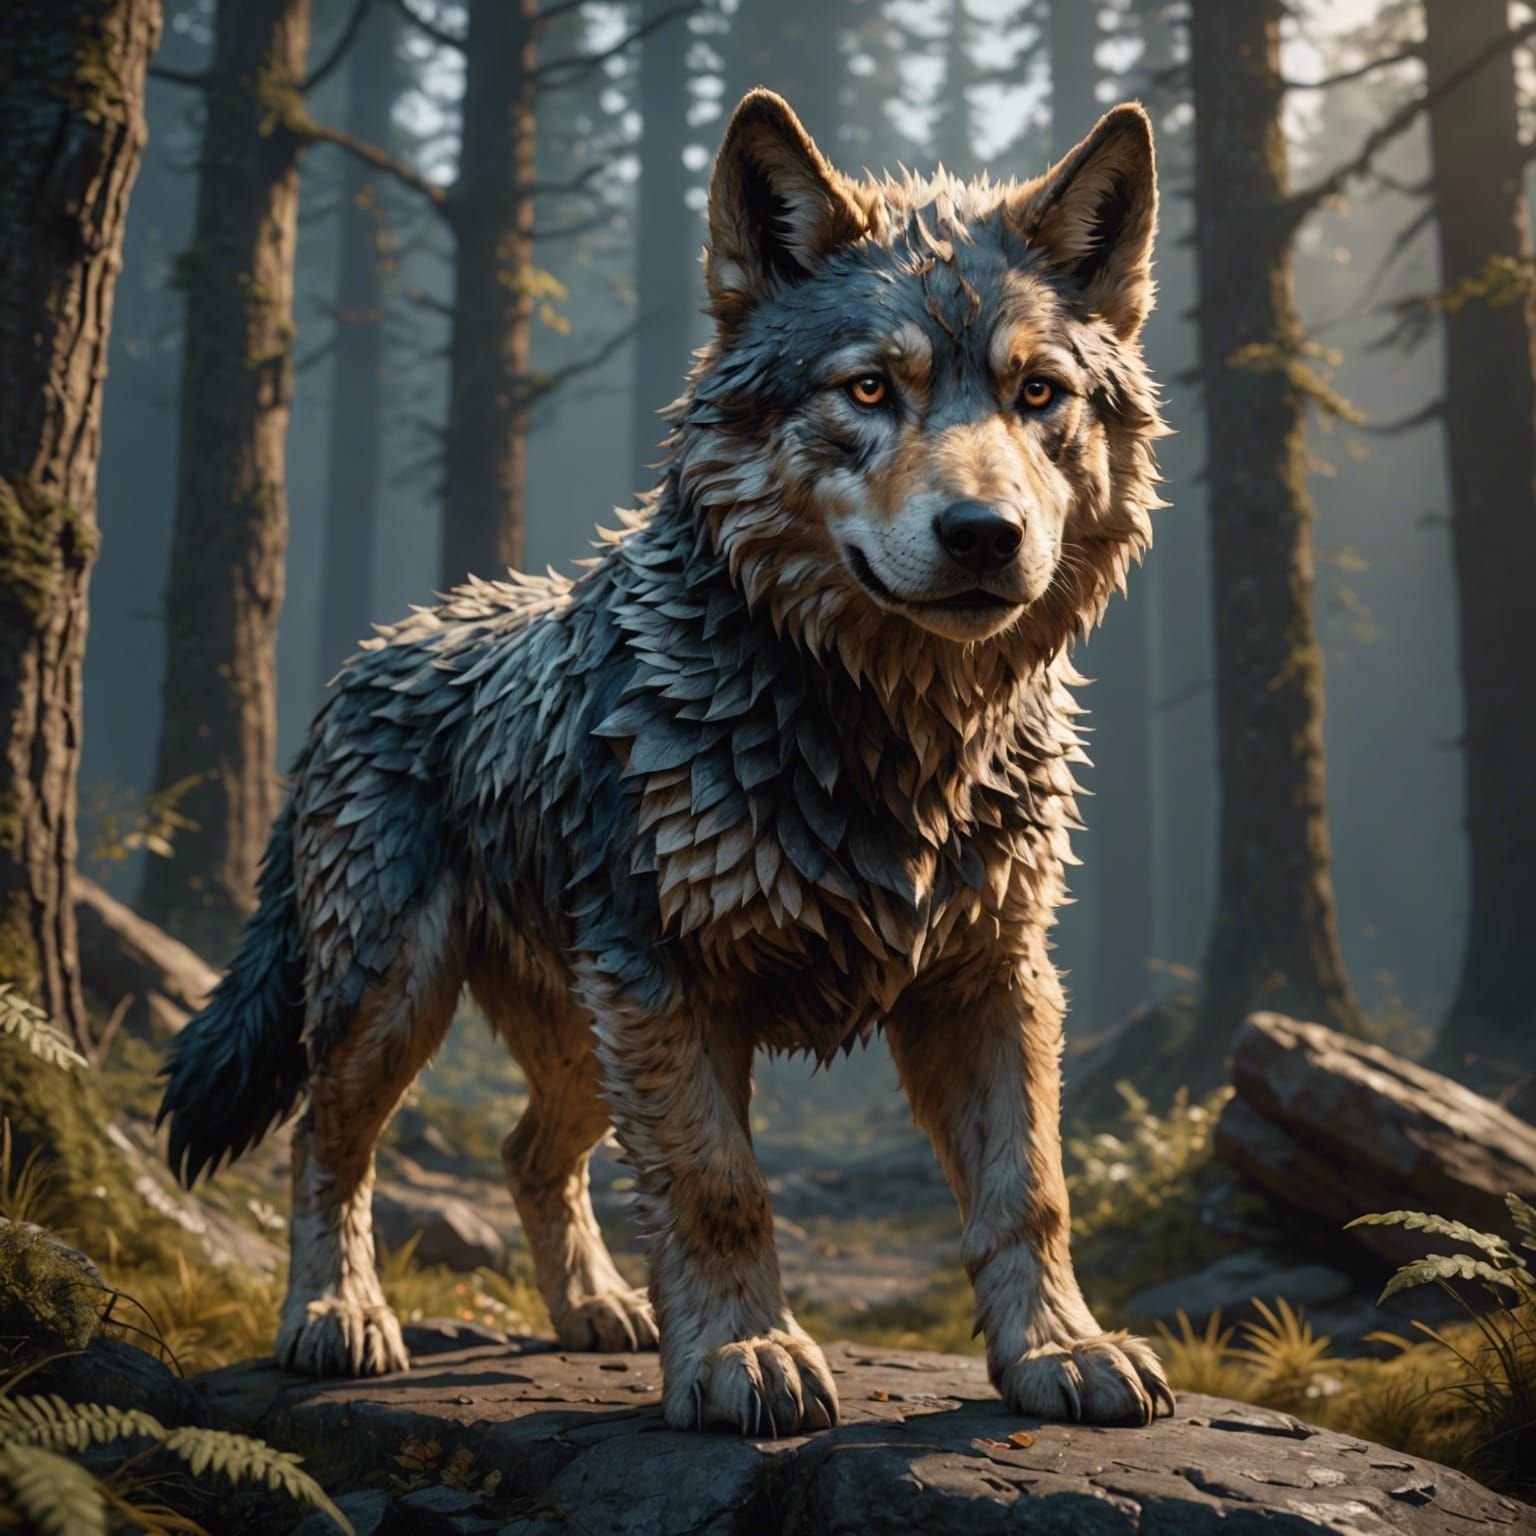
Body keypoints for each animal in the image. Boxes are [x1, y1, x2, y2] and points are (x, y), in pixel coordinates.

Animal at [160, 90, 1173, 1434]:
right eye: (869, 389)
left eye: (1040, 393)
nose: (984, 534)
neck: (888, 736)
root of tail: (378, 647)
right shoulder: (668, 983)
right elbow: (718, 1188)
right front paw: (747, 1356)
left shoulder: (990, 977)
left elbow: (1031, 1189)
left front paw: (1063, 1349)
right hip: (400, 999)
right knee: (329, 1140)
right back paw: (338, 1315)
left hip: (581, 1034)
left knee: (529, 1152)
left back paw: (596, 1311)